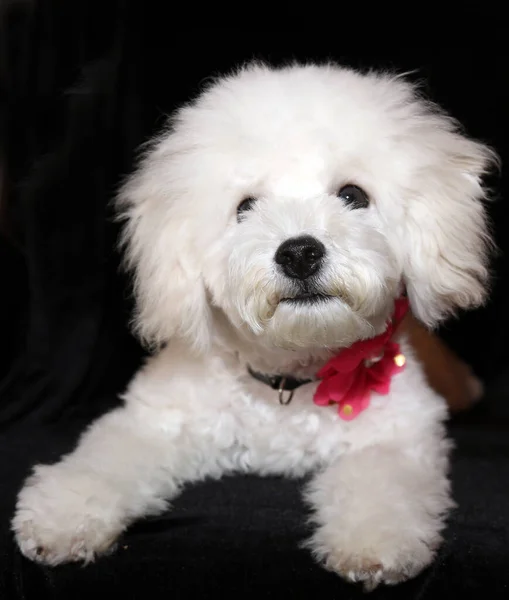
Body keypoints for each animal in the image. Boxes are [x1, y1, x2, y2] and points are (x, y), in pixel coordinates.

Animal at [12, 62, 496, 592]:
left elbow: (382, 483)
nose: (300, 252)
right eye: (245, 207)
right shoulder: (156, 421)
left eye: (352, 195)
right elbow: (106, 459)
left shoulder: (399, 437)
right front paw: (62, 516)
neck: (287, 379)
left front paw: (373, 544)